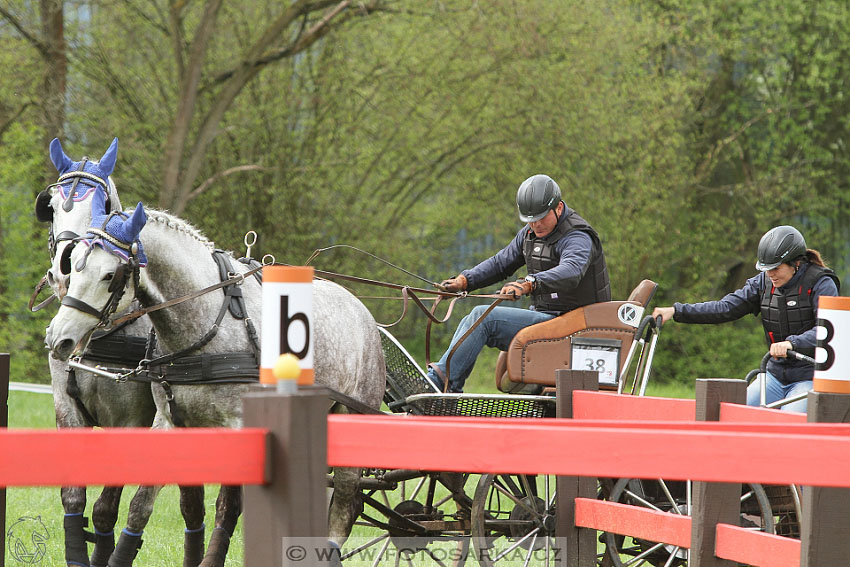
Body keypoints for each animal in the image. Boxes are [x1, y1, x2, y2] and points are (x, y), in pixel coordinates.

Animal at [36, 139, 209, 567]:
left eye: (101, 205)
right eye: (52, 205)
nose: (65, 268)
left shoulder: (129, 422)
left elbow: (104, 509)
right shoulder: (66, 410)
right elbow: (73, 499)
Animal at [46, 196, 384, 567]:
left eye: (110, 274)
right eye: (74, 263)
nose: (58, 337)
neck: (207, 319)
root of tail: (360, 309)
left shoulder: (237, 426)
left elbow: (229, 506)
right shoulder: (168, 423)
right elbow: (142, 504)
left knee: (345, 504)